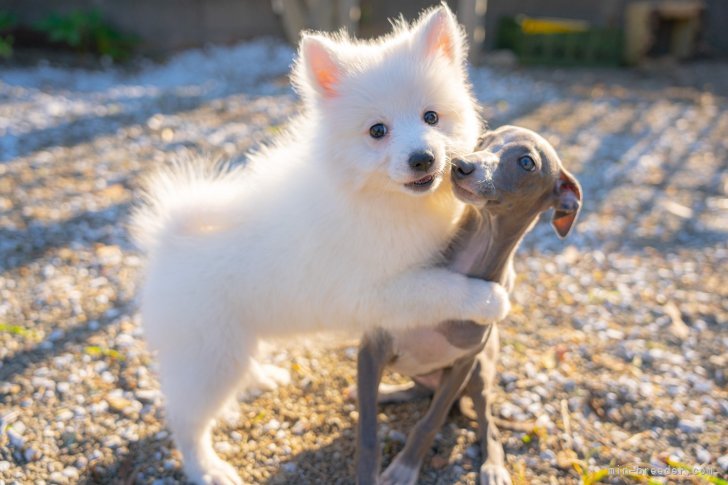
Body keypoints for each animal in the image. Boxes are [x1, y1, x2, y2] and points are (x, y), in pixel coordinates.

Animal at [131, 4, 510, 484]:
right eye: (378, 131)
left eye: (431, 117)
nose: (423, 158)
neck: (376, 198)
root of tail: (168, 236)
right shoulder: (377, 291)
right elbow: (439, 288)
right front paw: (488, 299)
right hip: (208, 354)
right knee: (186, 419)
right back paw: (207, 468)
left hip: (232, 339)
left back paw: (262, 378)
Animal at [356, 125, 584, 484]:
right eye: (484, 140)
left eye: (526, 162)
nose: (461, 165)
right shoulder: (372, 347)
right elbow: (367, 432)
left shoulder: (463, 365)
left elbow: (431, 421)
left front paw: (405, 467)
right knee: (416, 390)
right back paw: (387, 393)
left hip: (479, 374)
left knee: (487, 424)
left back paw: (493, 466)